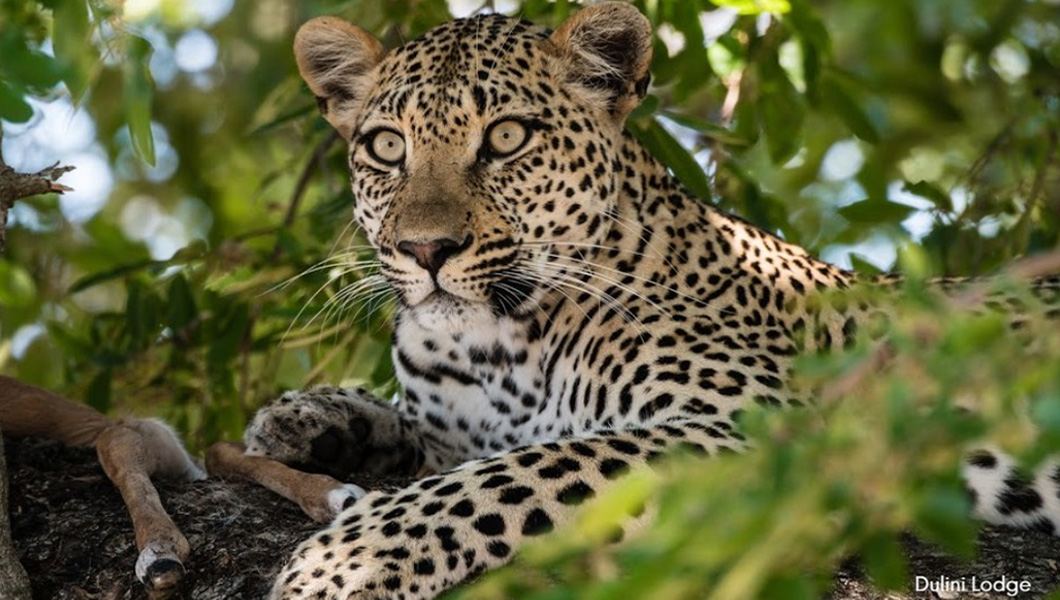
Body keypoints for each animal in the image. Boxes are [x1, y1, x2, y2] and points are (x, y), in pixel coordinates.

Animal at [242, 2, 1060, 597]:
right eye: (387, 148)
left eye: (505, 138)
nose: (426, 250)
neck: (490, 345)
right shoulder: (454, 426)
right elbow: (423, 436)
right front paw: (309, 417)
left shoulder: (764, 427)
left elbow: (497, 479)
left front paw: (341, 564)